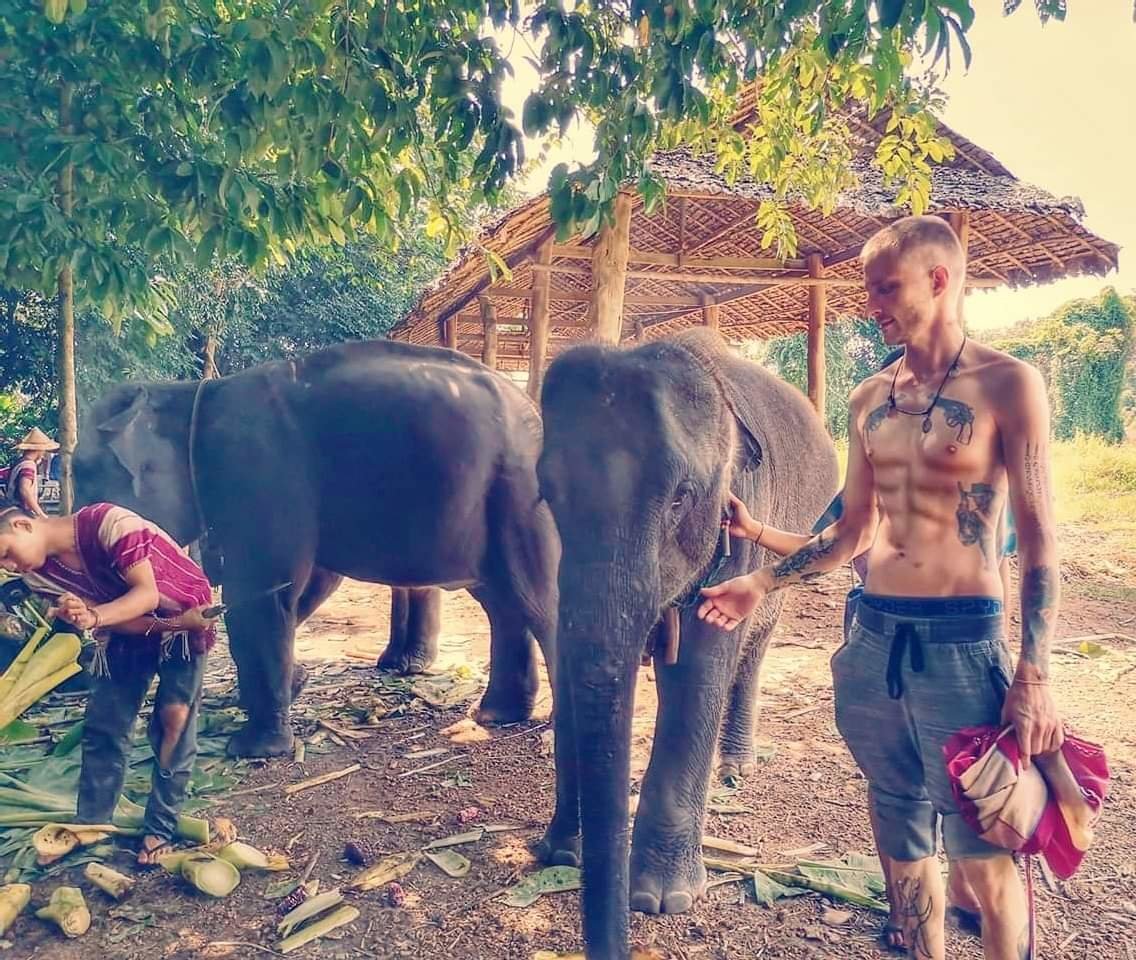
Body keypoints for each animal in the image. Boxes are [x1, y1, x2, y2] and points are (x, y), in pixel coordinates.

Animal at [73, 339, 560, 758]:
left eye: (85, 472)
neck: (190, 393)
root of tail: (532, 410)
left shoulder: (254, 471)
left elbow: (262, 593)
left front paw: (252, 750)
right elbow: (306, 586)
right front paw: (293, 686)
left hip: (518, 493)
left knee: (536, 600)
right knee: (503, 601)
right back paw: (496, 715)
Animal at [536, 329, 838, 960]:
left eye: (680, 496)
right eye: (546, 492)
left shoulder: (741, 513)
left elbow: (701, 669)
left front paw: (661, 900)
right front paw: (558, 853)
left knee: (755, 644)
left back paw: (736, 766)